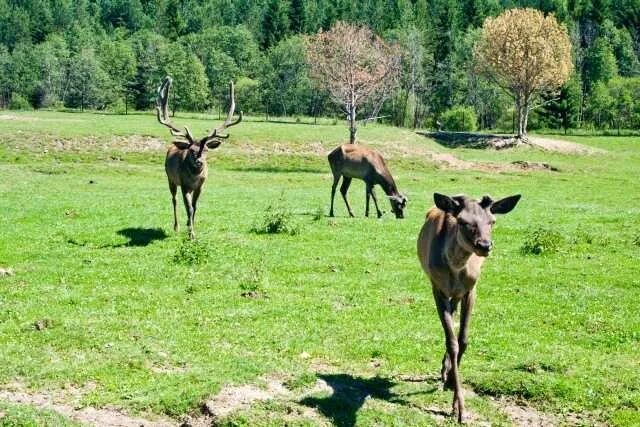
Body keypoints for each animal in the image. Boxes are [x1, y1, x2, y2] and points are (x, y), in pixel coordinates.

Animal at [157, 75, 242, 239]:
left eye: (207, 149)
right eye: (191, 150)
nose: (199, 162)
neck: (195, 177)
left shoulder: (201, 186)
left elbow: (195, 207)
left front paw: (191, 227)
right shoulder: (184, 185)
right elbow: (188, 208)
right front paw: (191, 234)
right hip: (170, 178)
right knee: (174, 200)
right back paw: (176, 226)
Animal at [418, 194, 524, 424]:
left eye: (492, 221)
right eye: (463, 221)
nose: (485, 245)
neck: (456, 269)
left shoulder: (471, 289)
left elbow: (463, 339)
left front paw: (450, 380)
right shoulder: (437, 288)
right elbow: (452, 342)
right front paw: (459, 408)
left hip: (459, 294)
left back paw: (445, 369)